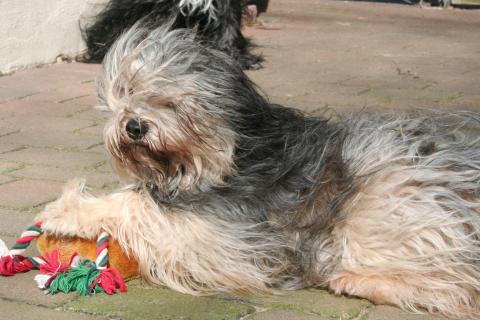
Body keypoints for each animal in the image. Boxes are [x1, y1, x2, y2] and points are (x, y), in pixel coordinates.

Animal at [40, 24, 480, 318]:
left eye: (170, 98)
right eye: (127, 91)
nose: (133, 126)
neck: (224, 156)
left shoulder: (226, 233)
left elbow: (140, 205)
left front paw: (66, 211)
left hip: (386, 197)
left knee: (460, 289)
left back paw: (356, 280)